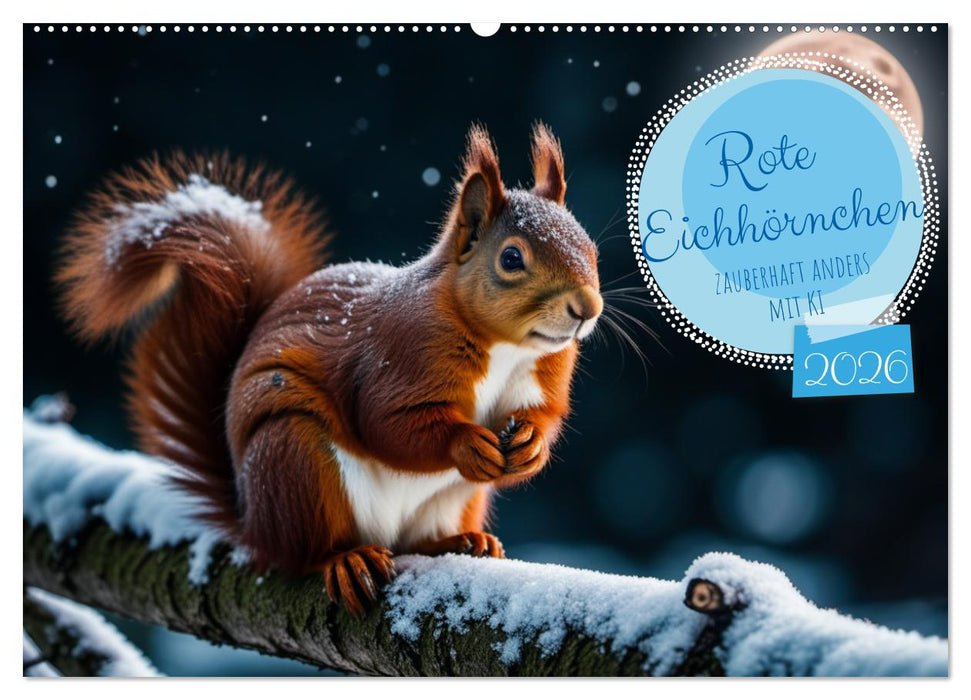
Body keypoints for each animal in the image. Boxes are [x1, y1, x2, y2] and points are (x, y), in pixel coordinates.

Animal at [56, 124, 603, 616]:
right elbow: (386, 422)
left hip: (452, 500)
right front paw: (465, 443)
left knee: (413, 543)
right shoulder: (400, 355)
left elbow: (546, 413)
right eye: (511, 258)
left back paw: (462, 542)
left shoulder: (544, 375)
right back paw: (346, 560)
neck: (504, 346)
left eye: (591, 247)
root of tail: (254, 523)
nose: (588, 308)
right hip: (294, 460)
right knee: (307, 552)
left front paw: (530, 444)